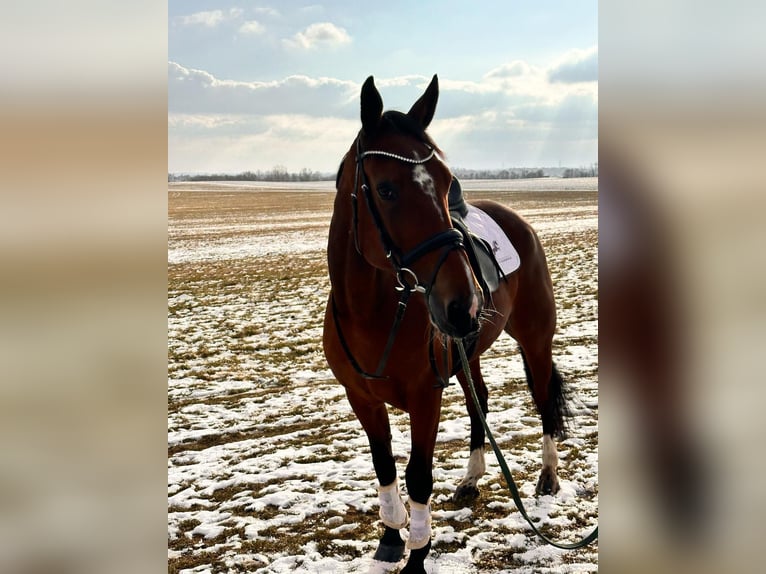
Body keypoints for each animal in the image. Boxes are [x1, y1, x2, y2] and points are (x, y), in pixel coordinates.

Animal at [324, 75, 568, 572]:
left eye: (446, 182)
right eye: (385, 189)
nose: (464, 303)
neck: (370, 312)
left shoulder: (425, 398)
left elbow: (418, 476)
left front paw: (417, 557)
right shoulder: (362, 398)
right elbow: (384, 467)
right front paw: (390, 538)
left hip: (535, 341)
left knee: (543, 400)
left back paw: (549, 476)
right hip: (467, 353)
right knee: (481, 403)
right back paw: (472, 479)